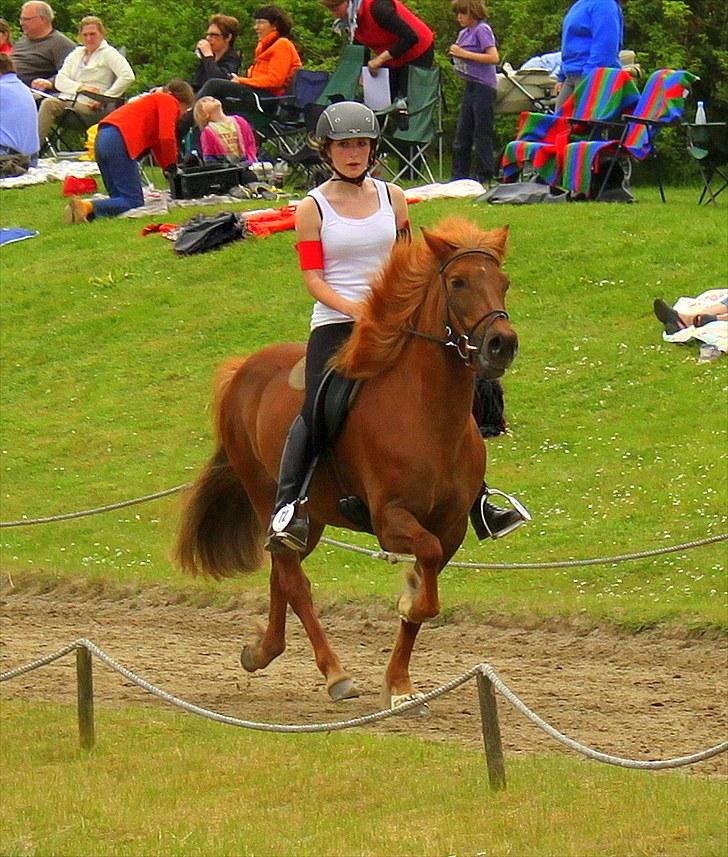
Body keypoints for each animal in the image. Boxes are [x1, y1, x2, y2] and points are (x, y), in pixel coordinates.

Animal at [176, 219, 516, 708]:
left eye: (503, 282)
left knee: (282, 571)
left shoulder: (450, 526)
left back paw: (262, 651)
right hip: (263, 492)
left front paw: (400, 685)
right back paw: (334, 674)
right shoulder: (391, 518)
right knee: (295, 582)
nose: (501, 344)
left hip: (310, 519)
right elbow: (426, 575)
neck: (428, 415)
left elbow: (429, 584)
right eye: (458, 282)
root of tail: (243, 368)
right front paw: (409, 598)